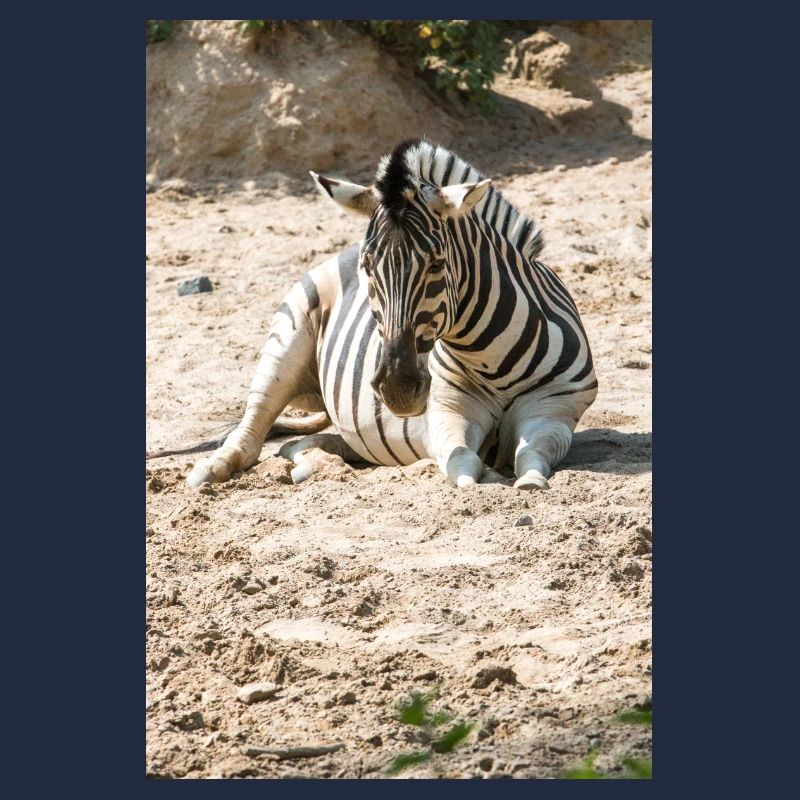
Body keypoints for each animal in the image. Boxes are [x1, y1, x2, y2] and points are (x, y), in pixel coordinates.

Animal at [186, 138, 597, 490]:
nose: (396, 388)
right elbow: (463, 462)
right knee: (254, 423)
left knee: (304, 444)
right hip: (286, 340)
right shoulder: (447, 411)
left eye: (437, 264)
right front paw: (484, 479)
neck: (489, 357)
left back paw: (315, 465)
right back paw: (212, 468)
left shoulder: (555, 409)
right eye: (368, 267)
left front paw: (529, 481)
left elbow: (532, 454)